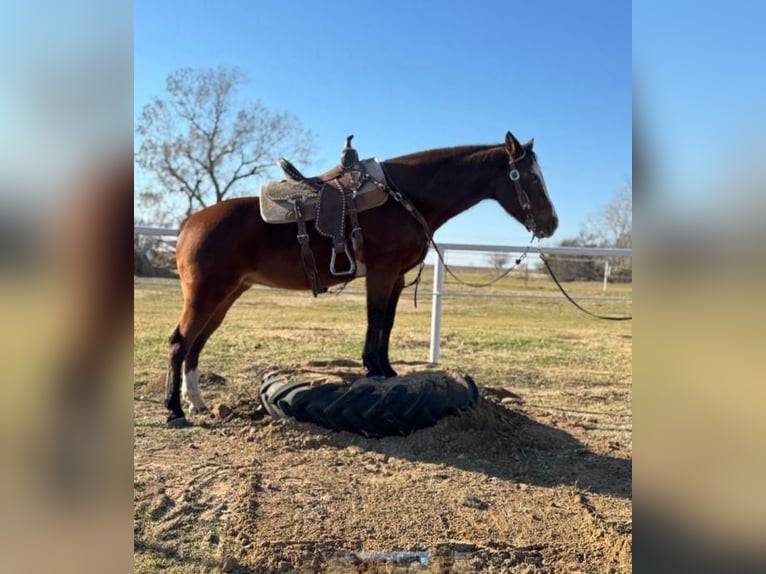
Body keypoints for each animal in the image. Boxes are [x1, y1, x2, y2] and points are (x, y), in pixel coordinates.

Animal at [164, 132, 560, 428]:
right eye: (530, 177)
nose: (552, 223)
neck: (405, 198)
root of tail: (189, 225)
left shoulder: (396, 278)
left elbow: (387, 324)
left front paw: (386, 370)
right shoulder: (382, 274)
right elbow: (375, 320)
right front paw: (374, 369)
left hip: (226, 296)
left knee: (196, 344)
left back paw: (196, 402)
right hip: (205, 295)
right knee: (179, 343)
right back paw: (175, 412)